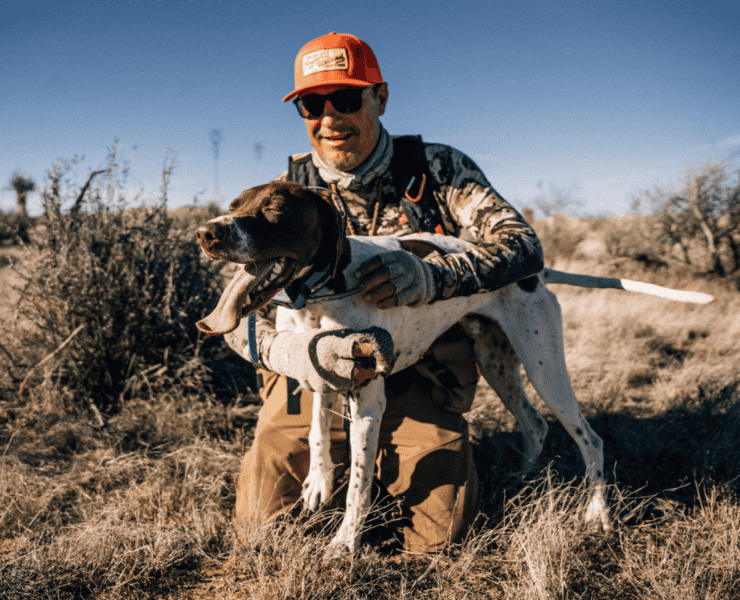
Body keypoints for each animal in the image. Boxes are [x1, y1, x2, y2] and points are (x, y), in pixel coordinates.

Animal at [194, 182, 712, 552]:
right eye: (233, 204)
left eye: (274, 210)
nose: (207, 232)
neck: (324, 291)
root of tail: (535, 272)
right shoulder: (319, 367)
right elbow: (320, 433)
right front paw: (318, 485)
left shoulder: (368, 398)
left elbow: (360, 482)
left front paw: (345, 543)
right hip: (500, 363)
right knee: (536, 425)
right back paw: (520, 481)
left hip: (545, 367)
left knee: (591, 439)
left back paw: (598, 514)